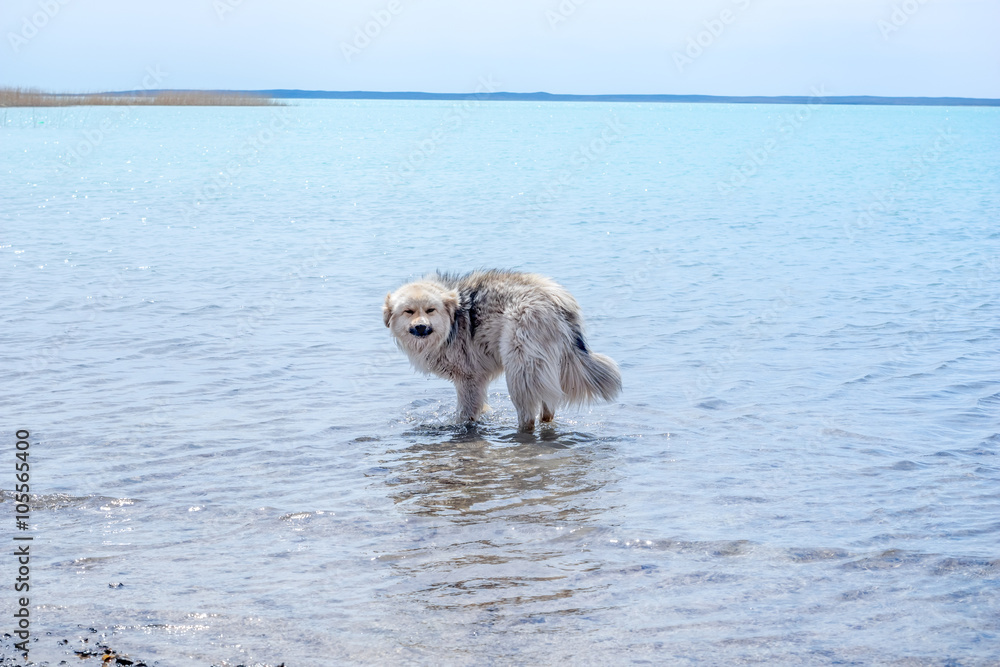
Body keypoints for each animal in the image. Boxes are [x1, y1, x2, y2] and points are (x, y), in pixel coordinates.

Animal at [380, 272, 616, 434]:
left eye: (430, 310)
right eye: (408, 312)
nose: (421, 327)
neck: (452, 321)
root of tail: (557, 302)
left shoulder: (468, 379)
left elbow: (465, 414)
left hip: (520, 370)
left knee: (528, 416)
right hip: (545, 368)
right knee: (548, 407)